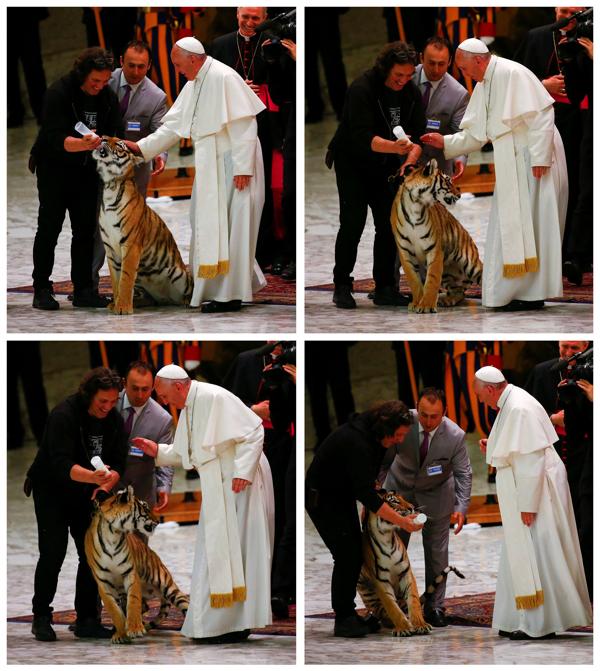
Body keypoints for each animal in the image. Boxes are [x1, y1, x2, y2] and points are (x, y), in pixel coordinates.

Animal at [84, 486, 190, 644]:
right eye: (145, 507)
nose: (158, 521)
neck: (113, 533)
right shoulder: (103, 583)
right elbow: (114, 610)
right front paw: (121, 634)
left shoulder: (130, 573)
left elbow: (133, 601)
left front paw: (135, 629)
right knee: (144, 606)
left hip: (167, 585)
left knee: (184, 602)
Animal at [92, 136, 193, 315]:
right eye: (106, 137)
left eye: (119, 144)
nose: (102, 138)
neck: (111, 185)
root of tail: (166, 298)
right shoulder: (110, 249)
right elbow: (116, 281)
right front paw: (115, 304)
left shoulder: (131, 245)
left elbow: (125, 279)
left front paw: (123, 308)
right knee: (150, 299)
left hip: (179, 274)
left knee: (190, 290)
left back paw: (190, 302)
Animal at [357, 490, 464, 637]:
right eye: (395, 501)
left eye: (403, 498)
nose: (412, 507)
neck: (386, 536)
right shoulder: (381, 581)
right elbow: (392, 607)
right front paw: (403, 627)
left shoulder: (406, 573)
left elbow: (414, 600)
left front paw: (420, 624)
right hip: (368, 594)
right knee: (383, 612)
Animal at [390, 158, 482, 313]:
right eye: (448, 181)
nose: (459, 194)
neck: (416, 204)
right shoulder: (405, 252)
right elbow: (414, 280)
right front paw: (416, 303)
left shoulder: (434, 250)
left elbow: (432, 280)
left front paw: (426, 305)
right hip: (448, 273)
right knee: (458, 291)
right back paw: (445, 300)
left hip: (471, 264)